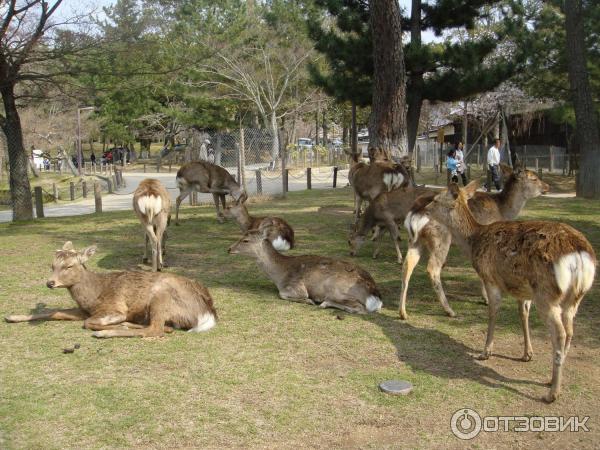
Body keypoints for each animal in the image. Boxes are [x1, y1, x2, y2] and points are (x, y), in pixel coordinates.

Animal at [4, 243, 217, 338]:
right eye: (52, 265)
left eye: (69, 266)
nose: (50, 283)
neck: (92, 296)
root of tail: (208, 313)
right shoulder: (84, 310)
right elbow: (55, 312)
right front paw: (11, 317)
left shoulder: (115, 309)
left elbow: (88, 323)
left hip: (161, 295)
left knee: (155, 329)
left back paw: (106, 333)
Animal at [227, 230, 382, 314]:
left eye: (245, 240)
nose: (229, 249)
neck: (279, 276)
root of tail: (375, 294)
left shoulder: (295, 287)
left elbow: (283, 294)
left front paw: (309, 300)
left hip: (336, 290)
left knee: (360, 308)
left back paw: (323, 302)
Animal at [398, 165, 548, 320]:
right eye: (534, 178)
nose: (547, 187)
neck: (502, 210)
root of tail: (415, 212)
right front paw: (486, 299)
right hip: (441, 238)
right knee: (432, 268)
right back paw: (449, 310)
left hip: (415, 239)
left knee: (407, 265)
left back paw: (403, 312)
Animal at [424, 181, 596, 402]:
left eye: (436, 199)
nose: (425, 208)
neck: (473, 240)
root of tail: (580, 255)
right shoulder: (523, 291)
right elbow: (523, 314)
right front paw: (527, 354)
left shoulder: (490, 278)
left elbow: (493, 312)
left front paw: (485, 352)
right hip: (574, 298)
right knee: (570, 330)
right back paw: (552, 379)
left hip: (546, 293)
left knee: (560, 333)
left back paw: (552, 393)